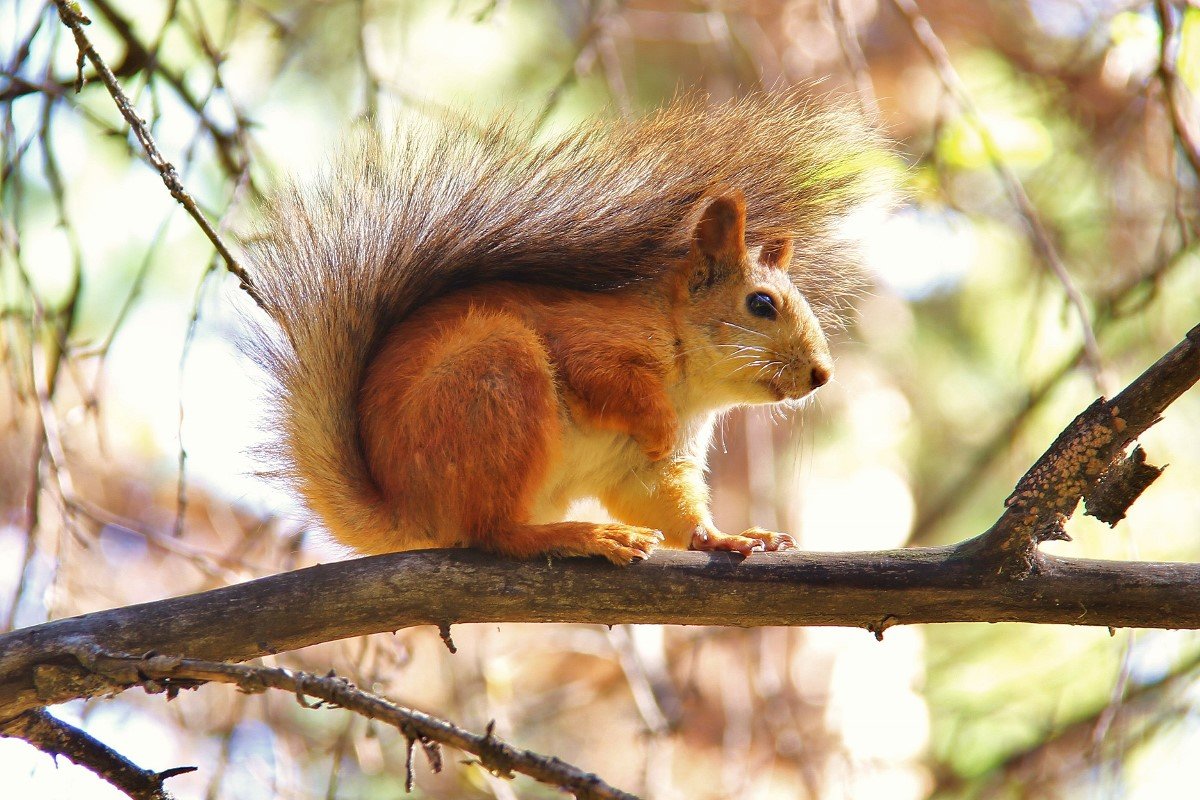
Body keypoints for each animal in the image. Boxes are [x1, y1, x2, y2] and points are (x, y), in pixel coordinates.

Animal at [246, 94, 883, 566]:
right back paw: (585, 537)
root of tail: (410, 511)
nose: (822, 374)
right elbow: (604, 380)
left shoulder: (653, 470)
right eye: (761, 304)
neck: (692, 383)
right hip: (496, 378)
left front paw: (729, 537)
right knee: (494, 532)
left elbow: (669, 503)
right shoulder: (593, 341)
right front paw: (653, 420)